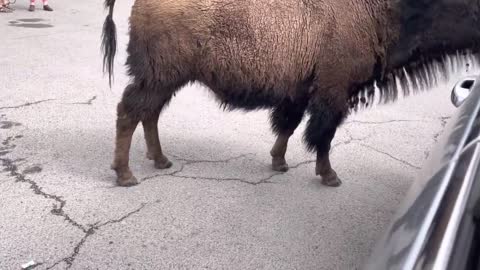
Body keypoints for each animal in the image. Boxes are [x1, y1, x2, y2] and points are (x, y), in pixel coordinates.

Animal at [101, 0, 480, 188]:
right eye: (470, 8)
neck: (384, 8)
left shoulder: (299, 92)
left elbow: (288, 125)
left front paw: (279, 162)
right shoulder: (331, 93)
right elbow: (322, 136)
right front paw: (330, 176)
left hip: (166, 79)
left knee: (148, 113)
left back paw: (160, 160)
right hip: (160, 77)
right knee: (129, 112)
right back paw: (126, 175)